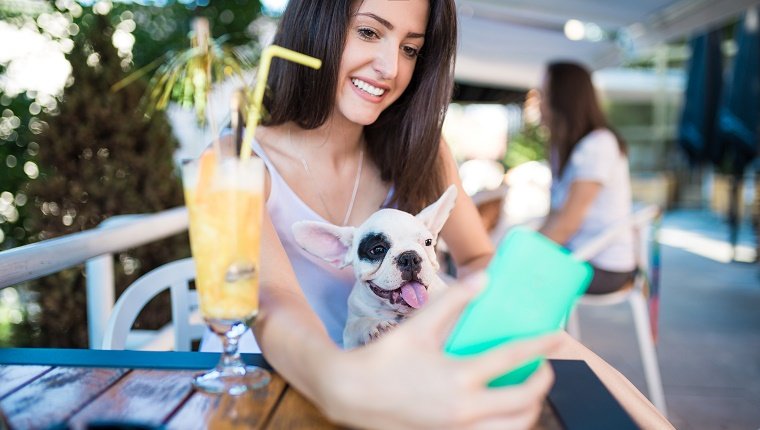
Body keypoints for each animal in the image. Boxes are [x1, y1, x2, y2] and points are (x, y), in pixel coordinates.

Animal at [290, 185, 458, 350]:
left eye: (428, 242)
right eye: (377, 250)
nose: (410, 257)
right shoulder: (350, 335)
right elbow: (357, 325)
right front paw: (375, 325)